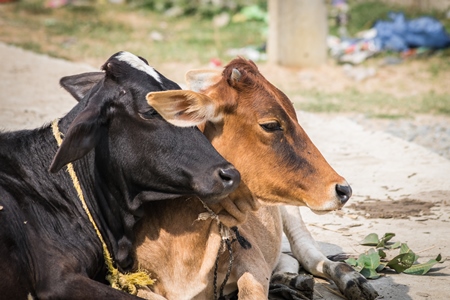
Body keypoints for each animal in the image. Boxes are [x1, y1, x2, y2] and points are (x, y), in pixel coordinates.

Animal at [136, 58, 376, 300]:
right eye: (270, 125)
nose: (343, 190)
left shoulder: (253, 261)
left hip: (290, 212)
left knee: (309, 256)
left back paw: (350, 279)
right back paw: (293, 280)